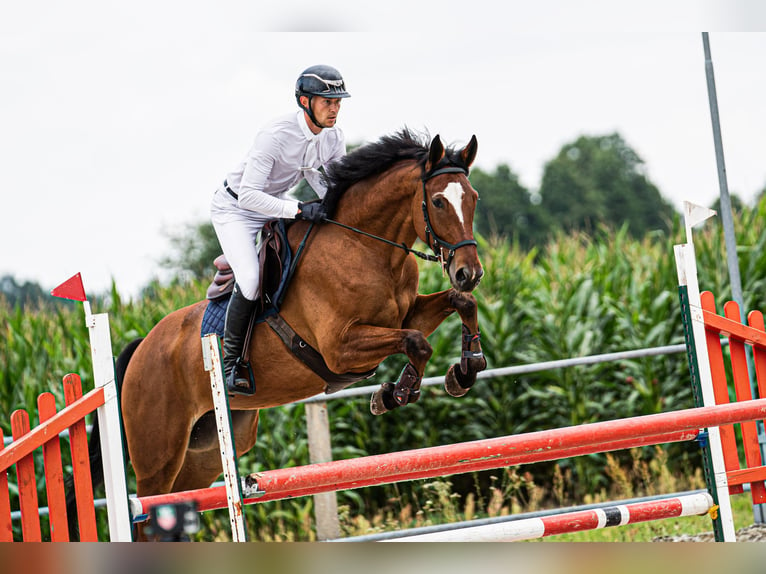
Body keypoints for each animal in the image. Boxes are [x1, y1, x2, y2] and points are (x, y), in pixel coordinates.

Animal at [91, 128, 486, 536]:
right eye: (438, 201)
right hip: (158, 458)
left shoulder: (407, 315)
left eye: (473, 198)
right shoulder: (340, 348)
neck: (365, 247)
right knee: (145, 512)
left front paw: (466, 369)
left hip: (205, 453)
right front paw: (396, 393)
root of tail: (142, 347)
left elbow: (460, 304)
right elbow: (417, 343)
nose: (469, 273)